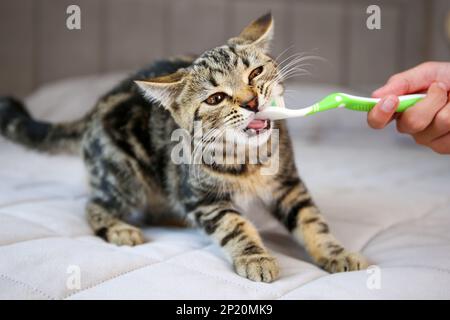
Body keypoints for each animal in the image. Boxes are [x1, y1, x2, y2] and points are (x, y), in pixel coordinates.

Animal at [0, 13, 368, 282]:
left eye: (255, 73)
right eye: (216, 98)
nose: (251, 102)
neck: (247, 158)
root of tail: (91, 112)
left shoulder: (289, 184)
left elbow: (311, 220)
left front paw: (336, 253)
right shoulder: (203, 198)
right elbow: (235, 226)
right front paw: (256, 256)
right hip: (126, 176)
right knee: (94, 204)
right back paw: (120, 228)